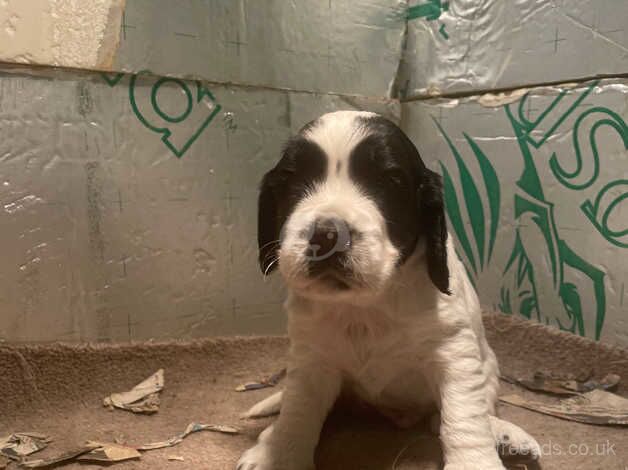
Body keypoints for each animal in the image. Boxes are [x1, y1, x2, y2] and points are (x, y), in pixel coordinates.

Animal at [236, 112, 540, 468]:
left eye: (390, 180)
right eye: (291, 180)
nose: (327, 235)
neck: (365, 305)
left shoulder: (455, 352)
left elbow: (463, 417)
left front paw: (475, 461)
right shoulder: (311, 359)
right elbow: (297, 412)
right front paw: (280, 453)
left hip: (488, 366)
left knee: (452, 416)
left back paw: (505, 434)